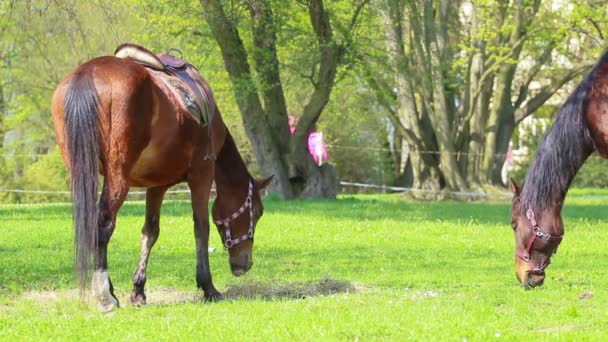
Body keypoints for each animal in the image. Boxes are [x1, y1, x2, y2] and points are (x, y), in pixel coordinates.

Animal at [51, 46, 270, 312]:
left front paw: (138, 290)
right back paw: (105, 295)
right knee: (103, 223)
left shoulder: (156, 186)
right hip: (118, 176)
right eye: (257, 211)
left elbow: (150, 232)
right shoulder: (202, 176)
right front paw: (208, 286)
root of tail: (88, 73)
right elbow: (201, 228)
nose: (244, 264)